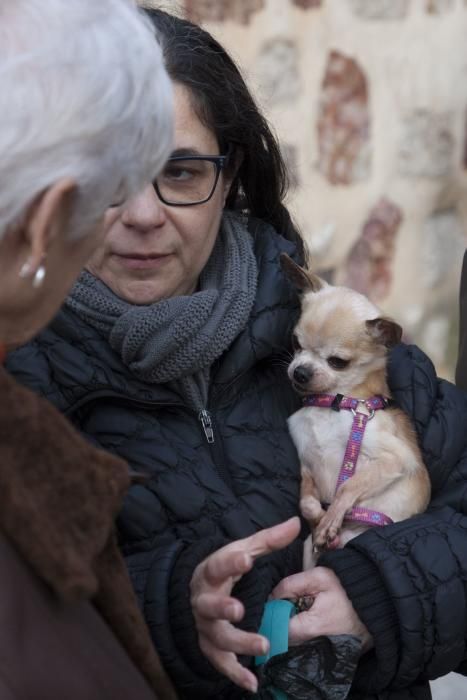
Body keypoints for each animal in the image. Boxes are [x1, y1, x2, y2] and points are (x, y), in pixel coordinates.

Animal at [282, 254, 432, 568]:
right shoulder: (306, 465)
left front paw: (330, 519)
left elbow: (347, 487)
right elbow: (306, 501)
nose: (299, 372)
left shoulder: (395, 459)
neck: (333, 404)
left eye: (338, 362)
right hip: (308, 554)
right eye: (296, 344)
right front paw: (320, 517)